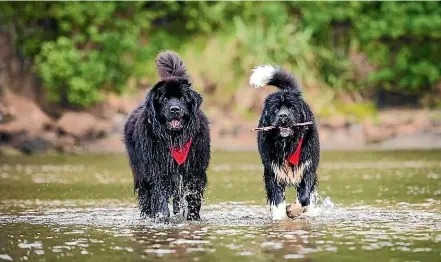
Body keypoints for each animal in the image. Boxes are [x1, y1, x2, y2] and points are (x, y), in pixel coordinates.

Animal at [123, 50, 211, 220]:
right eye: (164, 98)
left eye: (183, 98)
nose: (175, 109)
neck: (175, 139)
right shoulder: (156, 170)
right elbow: (159, 195)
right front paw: (162, 217)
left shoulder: (195, 171)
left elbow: (193, 197)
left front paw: (193, 218)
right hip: (140, 173)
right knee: (146, 198)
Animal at [249, 65, 318, 219]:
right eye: (276, 109)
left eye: (292, 108)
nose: (283, 116)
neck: (287, 145)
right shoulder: (272, 172)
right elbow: (277, 200)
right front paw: (280, 217)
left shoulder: (308, 169)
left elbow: (304, 197)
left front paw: (292, 209)